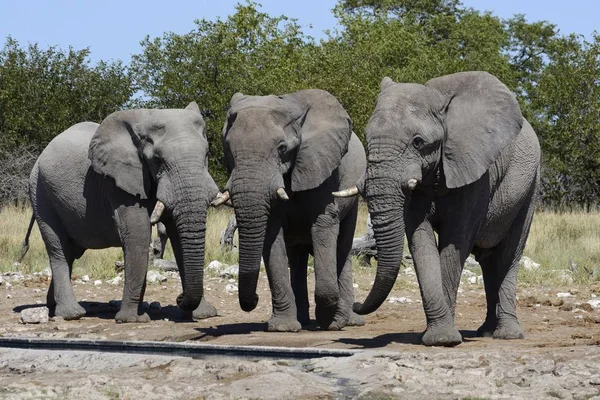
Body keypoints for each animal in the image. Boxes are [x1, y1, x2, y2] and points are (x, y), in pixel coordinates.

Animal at [24, 102, 220, 322]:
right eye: (158, 159)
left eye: (206, 154)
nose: (179, 298)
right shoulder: (117, 182)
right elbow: (138, 234)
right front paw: (132, 319)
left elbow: (177, 236)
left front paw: (204, 314)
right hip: (40, 193)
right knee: (58, 247)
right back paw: (71, 314)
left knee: (70, 252)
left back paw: (52, 307)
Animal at [216, 89, 366, 330]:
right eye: (228, 149)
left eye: (282, 149)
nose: (254, 299)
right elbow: (272, 237)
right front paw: (283, 327)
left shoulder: (323, 168)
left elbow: (323, 227)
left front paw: (332, 323)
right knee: (297, 257)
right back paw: (303, 321)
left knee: (342, 247)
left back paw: (349, 321)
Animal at [340, 72, 540, 346]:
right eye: (367, 138)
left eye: (418, 142)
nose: (356, 305)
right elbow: (420, 242)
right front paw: (436, 337)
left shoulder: (476, 172)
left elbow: (456, 240)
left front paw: (443, 339)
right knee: (488, 261)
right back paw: (485, 332)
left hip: (531, 183)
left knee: (507, 255)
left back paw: (507, 335)